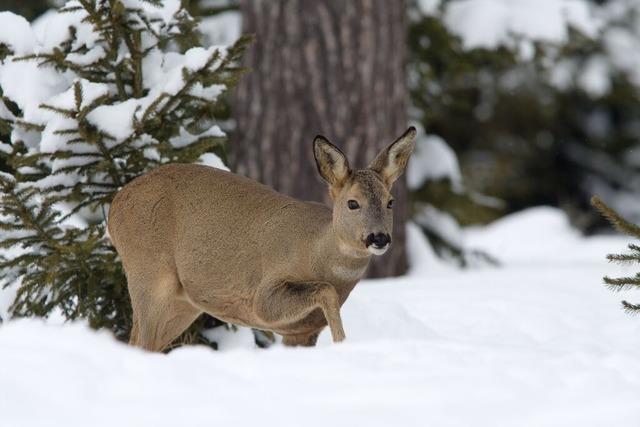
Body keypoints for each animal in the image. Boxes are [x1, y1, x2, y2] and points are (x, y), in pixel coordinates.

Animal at [107, 126, 418, 352]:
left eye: (390, 202)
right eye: (353, 203)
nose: (379, 237)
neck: (317, 251)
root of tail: (114, 206)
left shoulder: (302, 330)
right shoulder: (264, 294)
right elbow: (324, 290)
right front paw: (342, 342)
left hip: (182, 302)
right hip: (148, 271)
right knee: (138, 342)